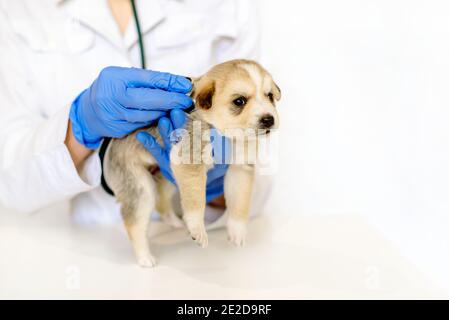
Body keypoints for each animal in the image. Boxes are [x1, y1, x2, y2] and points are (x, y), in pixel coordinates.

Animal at [103, 58, 282, 266]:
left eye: (270, 96)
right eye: (239, 101)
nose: (269, 119)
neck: (226, 134)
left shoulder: (240, 169)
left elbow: (240, 202)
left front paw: (237, 230)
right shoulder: (189, 162)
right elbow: (196, 202)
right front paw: (197, 228)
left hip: (167, 176)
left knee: (162, 200)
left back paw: (174, 222)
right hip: (140, 189)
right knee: (134, 223)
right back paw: (144, 256)